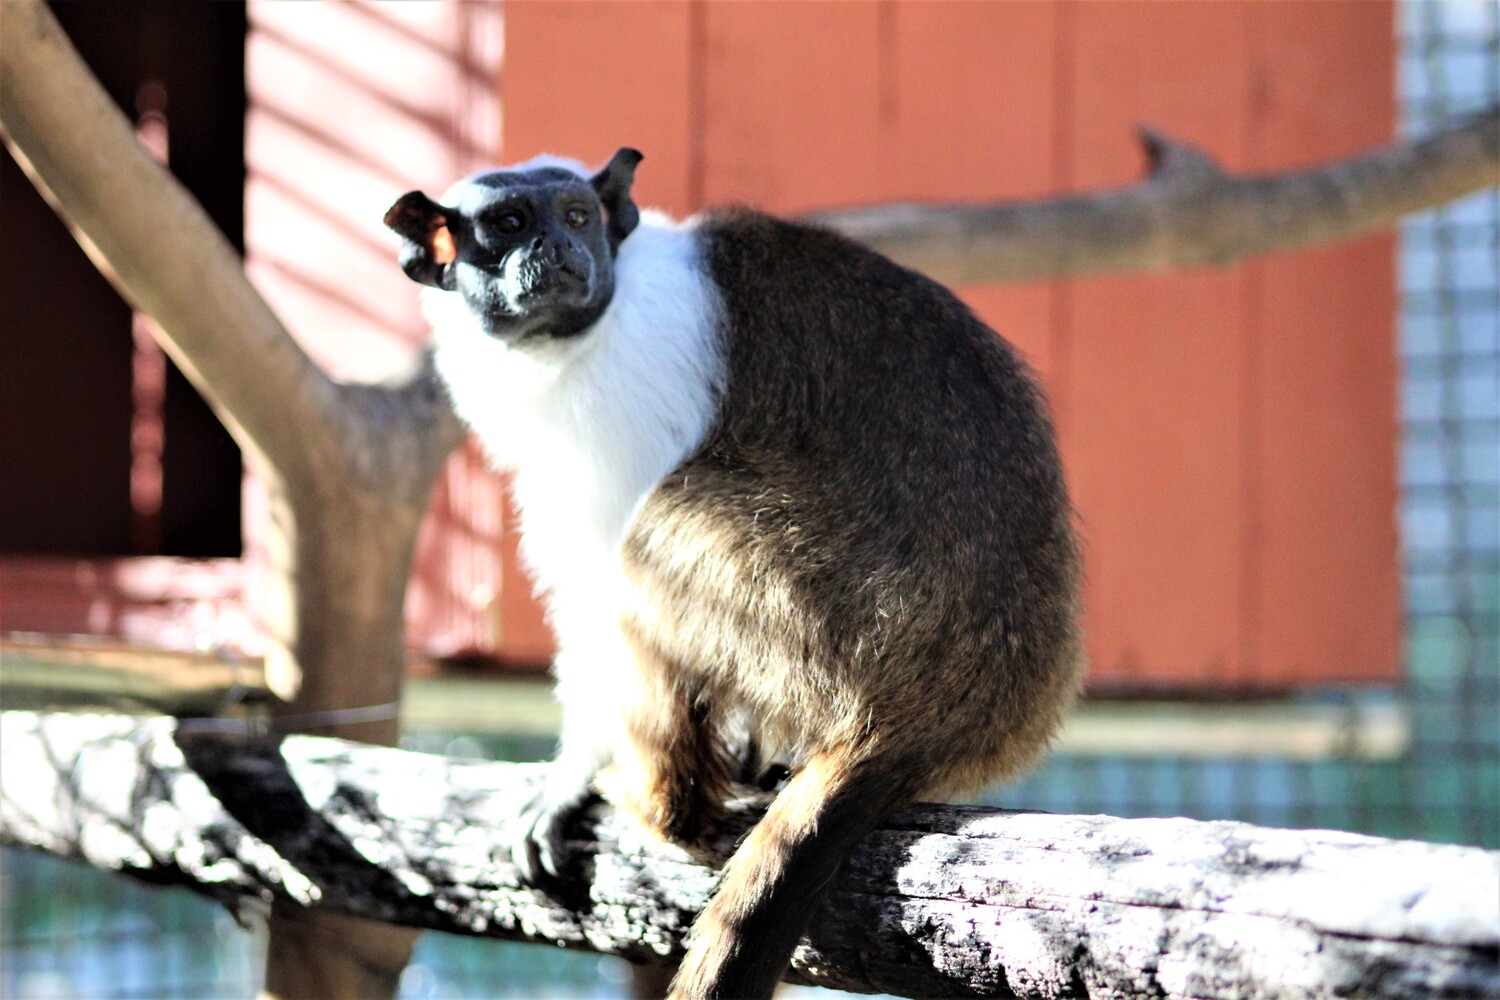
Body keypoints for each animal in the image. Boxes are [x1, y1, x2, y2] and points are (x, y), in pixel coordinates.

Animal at [385, 148, 1082, 999]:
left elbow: (598, 584)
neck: (573, 341)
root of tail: (950, 714)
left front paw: (575, 772)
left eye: (576, 216)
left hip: (820, 621)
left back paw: (662, 802)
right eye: (510, 224)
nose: (556, 249)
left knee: (653, 529)